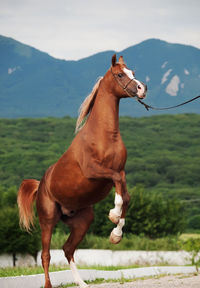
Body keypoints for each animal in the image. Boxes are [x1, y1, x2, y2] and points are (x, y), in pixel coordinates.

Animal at [17, 54, 147, 288]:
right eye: (120, 74)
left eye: (132, 72)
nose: (143, 89)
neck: (104, 135)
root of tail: (41, 186)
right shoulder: (95, 171)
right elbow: (118, 188)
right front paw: (113, 215)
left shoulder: (120, 172)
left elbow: (126, 196)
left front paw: (116, 234)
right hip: (47, 220)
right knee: (46, 255)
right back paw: (49, 284)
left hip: (81, 222)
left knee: (68, 249)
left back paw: (81, 283)